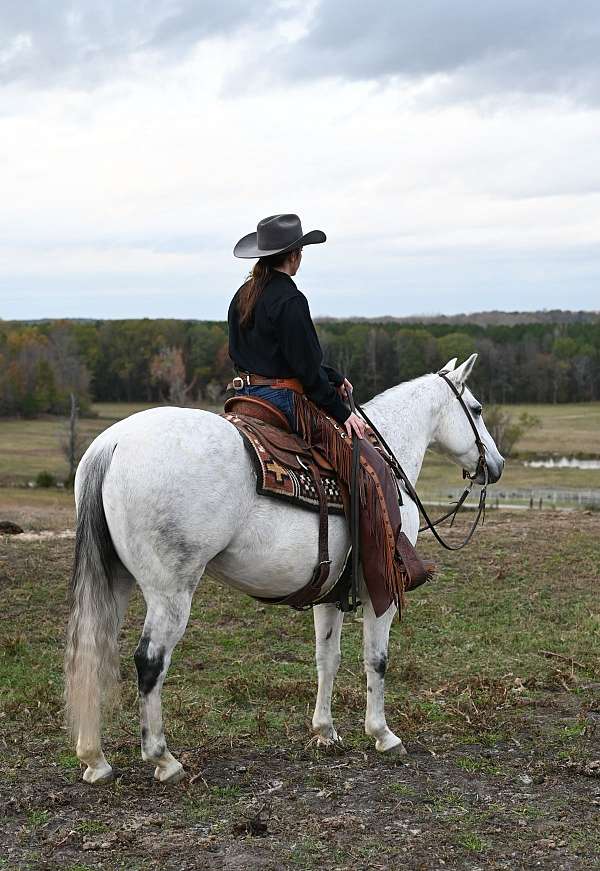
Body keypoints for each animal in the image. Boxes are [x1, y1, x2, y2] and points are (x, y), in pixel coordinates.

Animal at [64, 354, 502, 784]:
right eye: (477, 409)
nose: (495, 465)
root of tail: (112, 444)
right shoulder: (380, 589)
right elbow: (375, 659)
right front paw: (383, 734)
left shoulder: (330, 594)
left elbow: (328, 657)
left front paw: (325, 731)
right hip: (169, 592)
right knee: (150, 661)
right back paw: (163, 759)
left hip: (115, 581)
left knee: (92, 649)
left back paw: (95, 759)